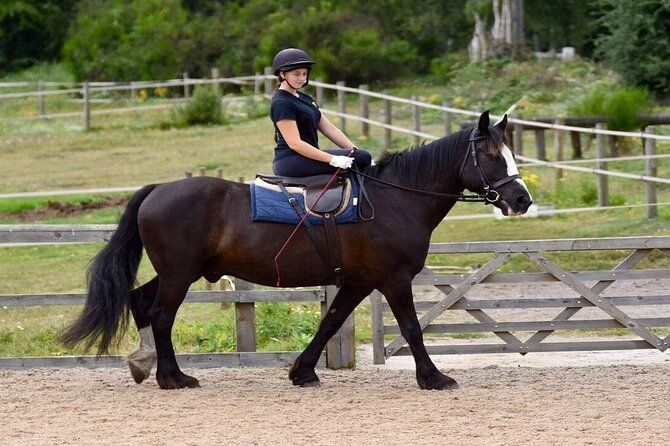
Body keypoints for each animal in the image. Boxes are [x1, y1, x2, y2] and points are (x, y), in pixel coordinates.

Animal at [61, 111, 532, 390]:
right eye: (492, 155)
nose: (522, 200)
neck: (397, 198)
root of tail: (159, 189)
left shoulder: (359, 282)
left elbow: (329, 322)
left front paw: (302, 371)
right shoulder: (394, 279)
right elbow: (412, 328)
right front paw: (433, 377)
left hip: (178, 271)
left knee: (141, 302)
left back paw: (144, 365)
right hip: (180, 273)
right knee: (160, 314)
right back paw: (173, 377)